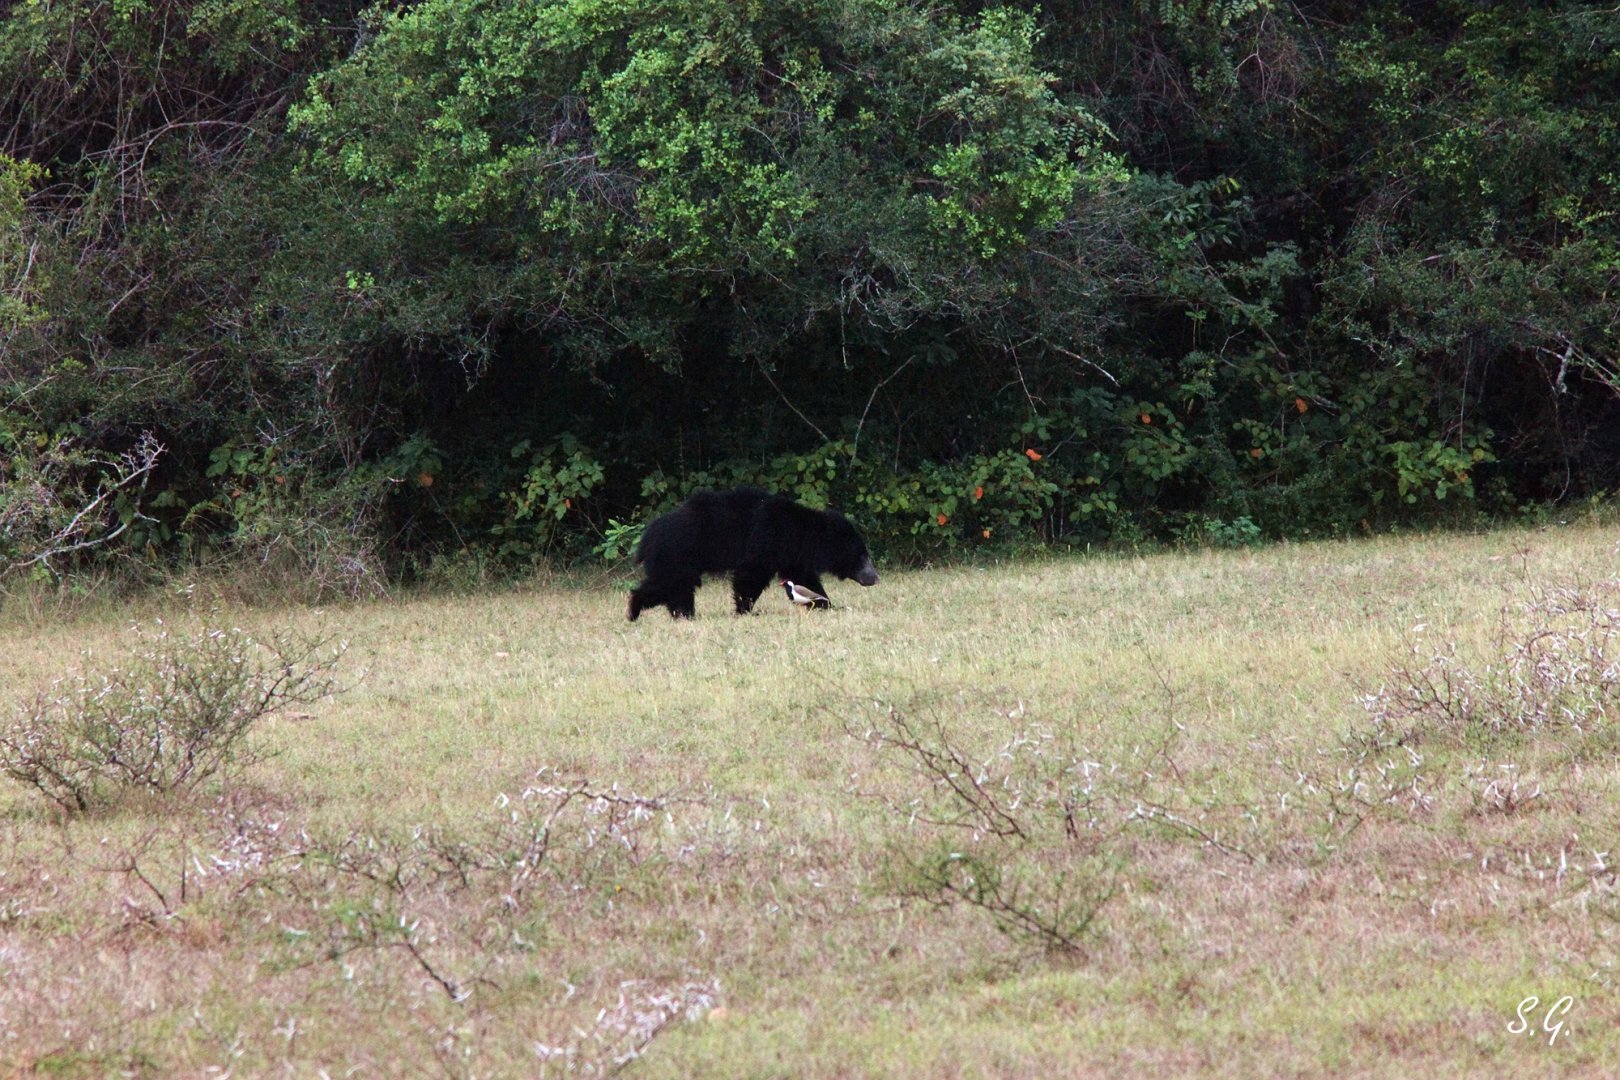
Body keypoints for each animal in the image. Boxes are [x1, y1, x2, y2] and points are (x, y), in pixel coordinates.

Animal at [626, 486, 879, 620]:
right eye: (862, 556)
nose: (874, 578)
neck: (799, 533)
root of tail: (646, 538)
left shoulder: (791, 554)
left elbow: (804, 579)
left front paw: (823, 602)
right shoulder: (765, 541)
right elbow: (751, 576)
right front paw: (744, 610)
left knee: (676, 588)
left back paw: (681, 614)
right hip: (676, 554)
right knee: (670, 585)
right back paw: (637, 610)